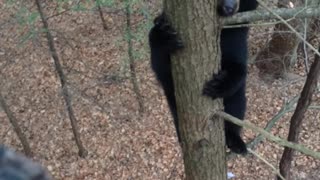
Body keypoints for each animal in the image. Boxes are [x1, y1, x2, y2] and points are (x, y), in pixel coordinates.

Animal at [149, 0, 258, 155]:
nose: (229, 7)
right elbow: (161, 67)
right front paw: (164, 36)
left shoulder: (236, 38)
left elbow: (239, 69)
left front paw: (218, 85)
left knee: (237, 106)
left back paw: (235, 141)